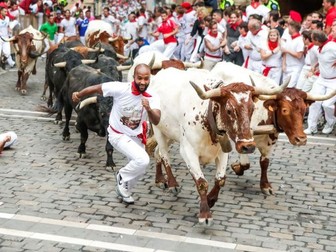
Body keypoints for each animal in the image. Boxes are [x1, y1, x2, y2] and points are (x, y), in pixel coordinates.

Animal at [148, 67, 288, 224]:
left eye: (252, 109)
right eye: (229, 110)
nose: (248, 147)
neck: (206, 115)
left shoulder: (222, 152)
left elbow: (220, 180)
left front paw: (210, 200)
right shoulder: (188, 151)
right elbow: (202, 183)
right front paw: (205, 214)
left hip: (171, 134)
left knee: (157, 152)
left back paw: (160, 180)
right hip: (158, 129)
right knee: (164, 155)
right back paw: (172, 184)